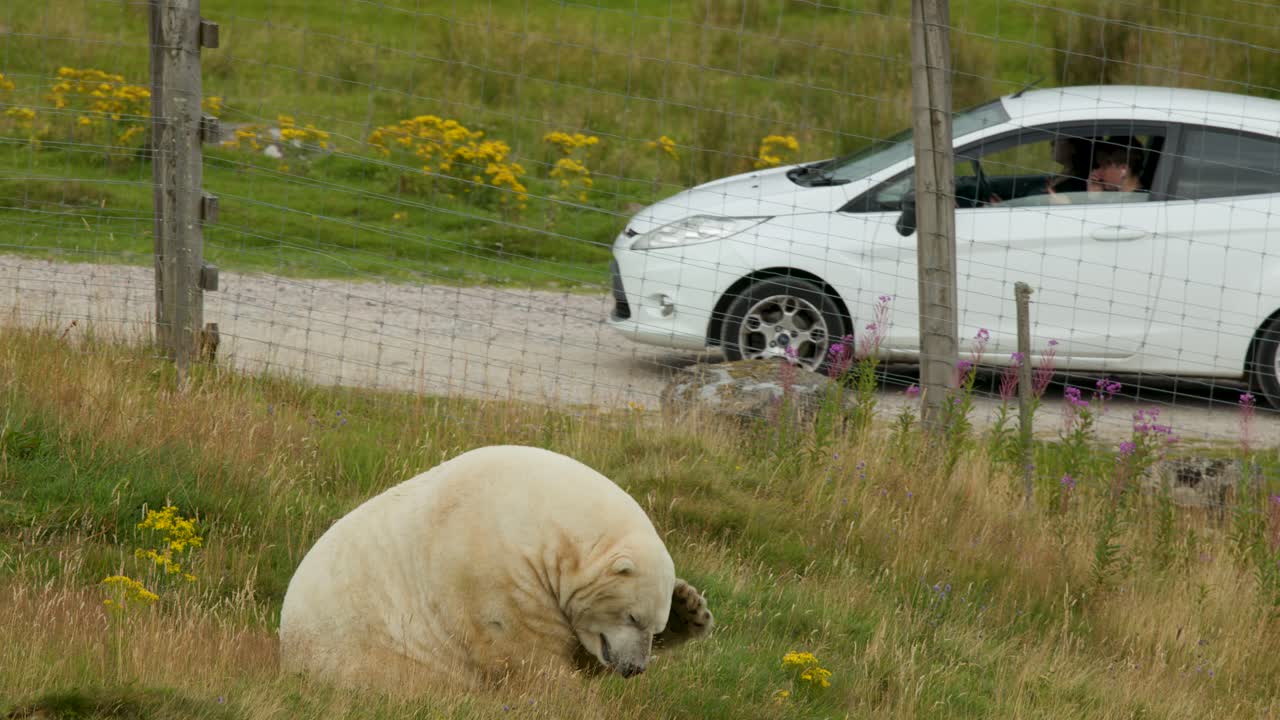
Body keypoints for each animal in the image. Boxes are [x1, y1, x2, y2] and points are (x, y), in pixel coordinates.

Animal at [278, 444, 713, 691]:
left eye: (655, 627)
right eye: (633, 617)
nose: (634, 669)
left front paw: (691, 607)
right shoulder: (493, 575)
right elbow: (525, 654)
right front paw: (562, 695)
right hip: (370, 656)